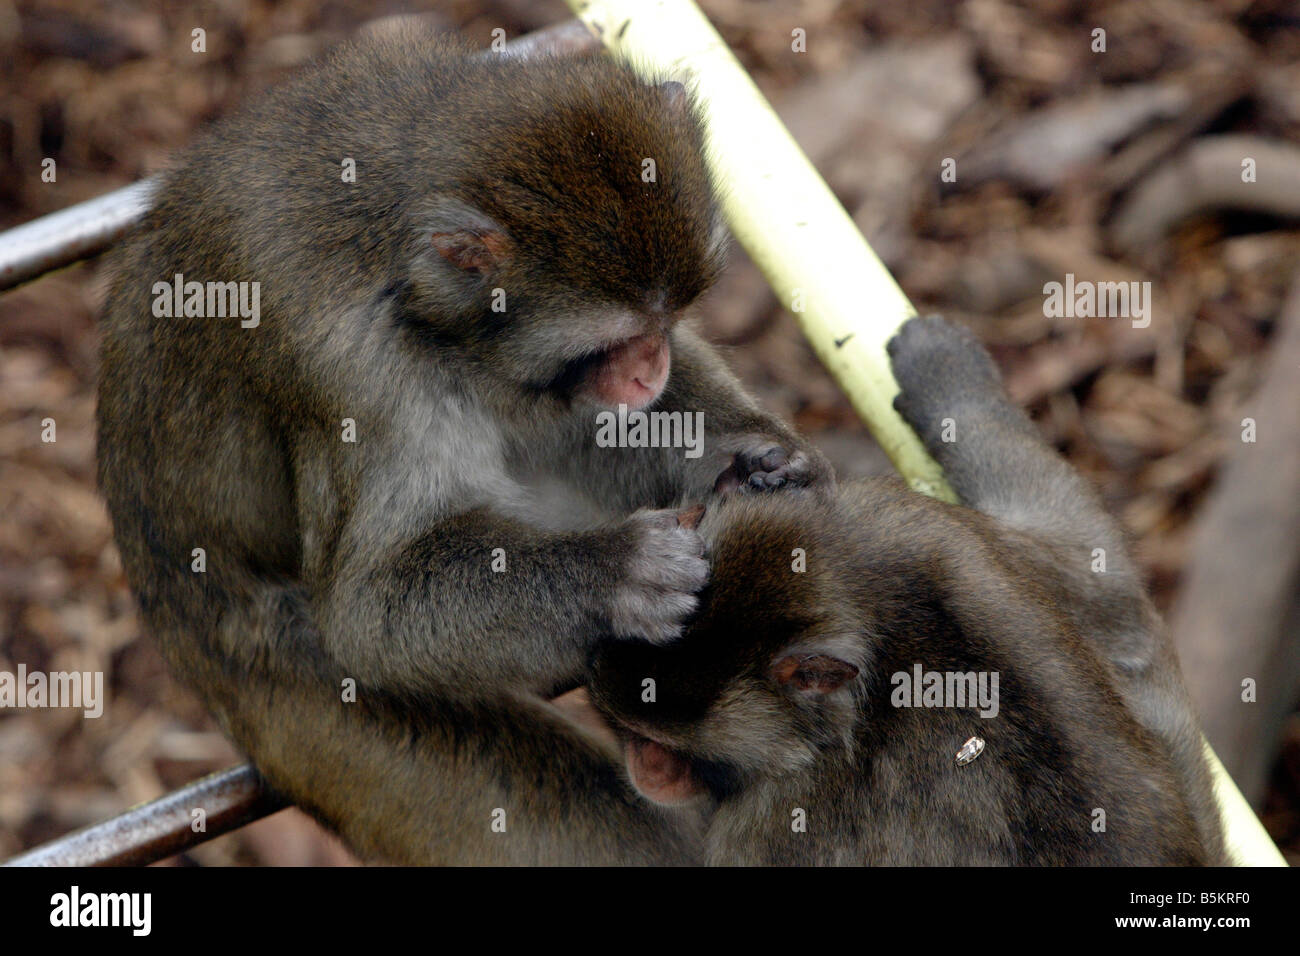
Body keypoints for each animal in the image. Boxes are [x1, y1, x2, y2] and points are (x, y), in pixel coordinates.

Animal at [98, 27, 832, 868]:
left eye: (665, 321)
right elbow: (370, 611)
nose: (651, 367)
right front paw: (619, 570)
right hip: (307, 698)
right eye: (614, 343)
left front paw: (752, 453)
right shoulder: (362, 373)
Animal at [590, 316, 1227, 868]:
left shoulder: (781, 819)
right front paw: (950, 381)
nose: (647, 771)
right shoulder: (921, 531)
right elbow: (1106, 586)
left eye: (667, 746)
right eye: (632, 734)